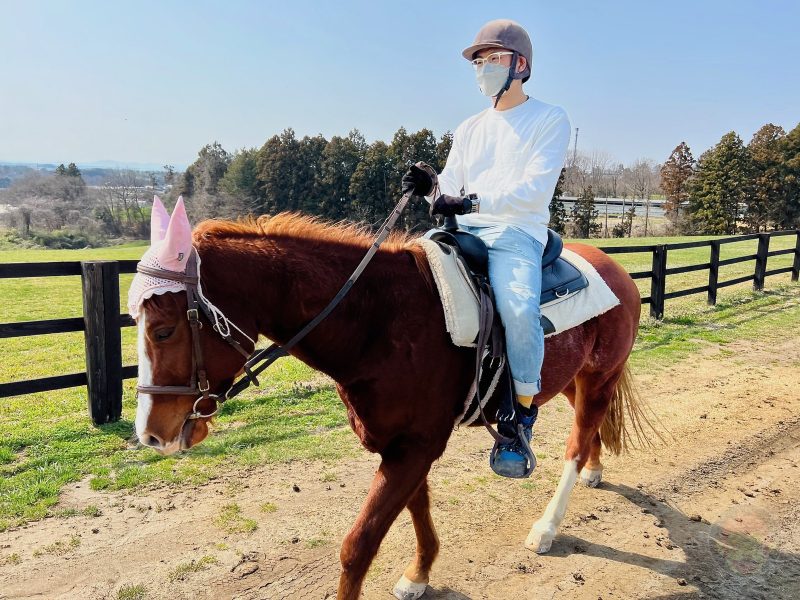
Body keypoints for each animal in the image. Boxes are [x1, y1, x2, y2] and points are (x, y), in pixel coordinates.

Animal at [130, 197, 648, 600]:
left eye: (164, 329)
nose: (150, 434)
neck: (379, 320)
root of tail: (616, 270)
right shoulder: (399, 445)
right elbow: (417, 508)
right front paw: (418, 574)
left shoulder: (415, 447)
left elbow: (358, 546)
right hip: (571, 381)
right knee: (588, 431)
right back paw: (595, 472)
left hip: (599, 378)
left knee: (576, 444)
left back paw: (547, 527)